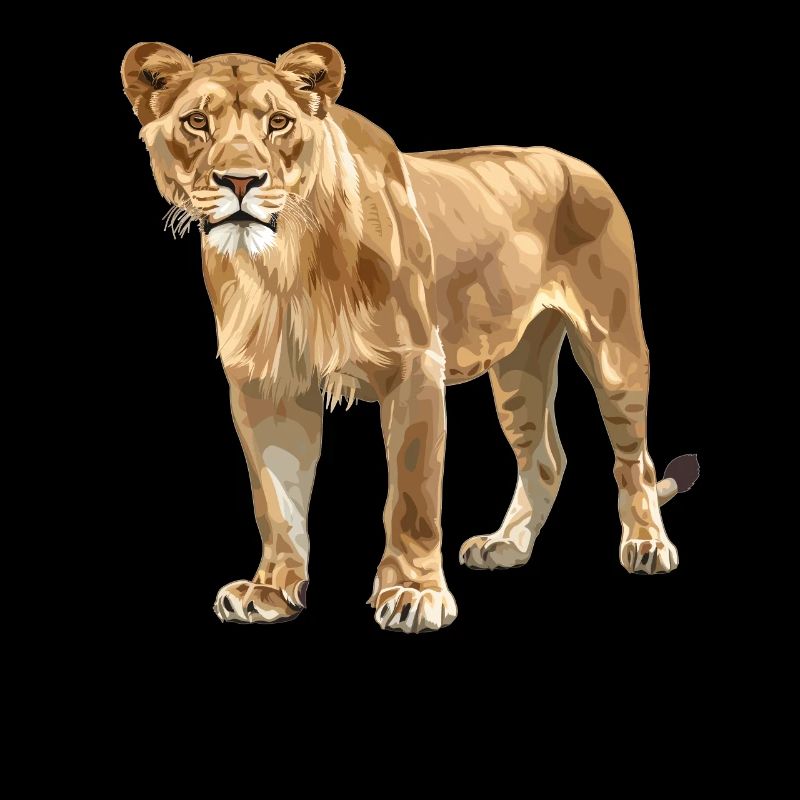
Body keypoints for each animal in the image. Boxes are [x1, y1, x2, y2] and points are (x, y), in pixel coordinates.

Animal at [121, 41, 699, 633]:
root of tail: (577, 163)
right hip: (519, 365)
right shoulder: (266, 384)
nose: (240, 181)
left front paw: (413, 594)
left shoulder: (415, 365)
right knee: (545, 456)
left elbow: (412, 496)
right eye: (196, 122)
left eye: (278, 122)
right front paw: (272, 590)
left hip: (614, 350)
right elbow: (276, 499)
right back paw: (507, 546)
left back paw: (649, 546)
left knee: (634, 459)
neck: (288, 260)